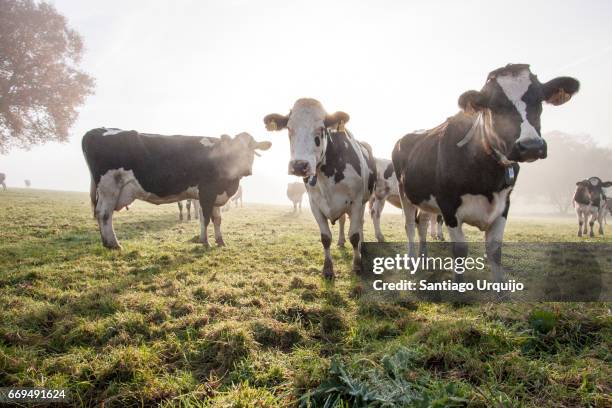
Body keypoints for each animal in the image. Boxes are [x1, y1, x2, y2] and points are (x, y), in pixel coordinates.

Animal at [82, 127, 270, 249]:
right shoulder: (206, 192)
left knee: (101, 214)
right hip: (109, 187)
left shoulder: (214, 195)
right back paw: (113, 244)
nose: (246, 170)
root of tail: (97, 130)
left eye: (252, 149)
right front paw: (206, 242)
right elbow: (206, 219)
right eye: (235, 149)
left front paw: (220, 241)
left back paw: (107, 243)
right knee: (104, 214)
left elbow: (216, 219)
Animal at [264, 98, 378, 278]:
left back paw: (362, 245)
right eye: (289, 128)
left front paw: (357, 265)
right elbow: (325, 238)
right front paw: (328, 269)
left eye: (321, 128)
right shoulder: (314, 204)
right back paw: (340, 241)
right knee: (342, 221)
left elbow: (354, 236)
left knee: (359, 223)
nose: (299, 165)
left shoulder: (356, 202)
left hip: (364, 200)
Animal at [392, 63, 580, 282]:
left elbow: (495, 250)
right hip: (405, 193)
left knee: (421, 223)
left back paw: (423, 258)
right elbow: (460, 250)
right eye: (495, 105)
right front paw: (458, 284)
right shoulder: (448, 205)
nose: (531, 146)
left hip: (425, 198)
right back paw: (412, 259)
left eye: (539, 100)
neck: (487, 177)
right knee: (410, 226)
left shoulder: (504, 204)